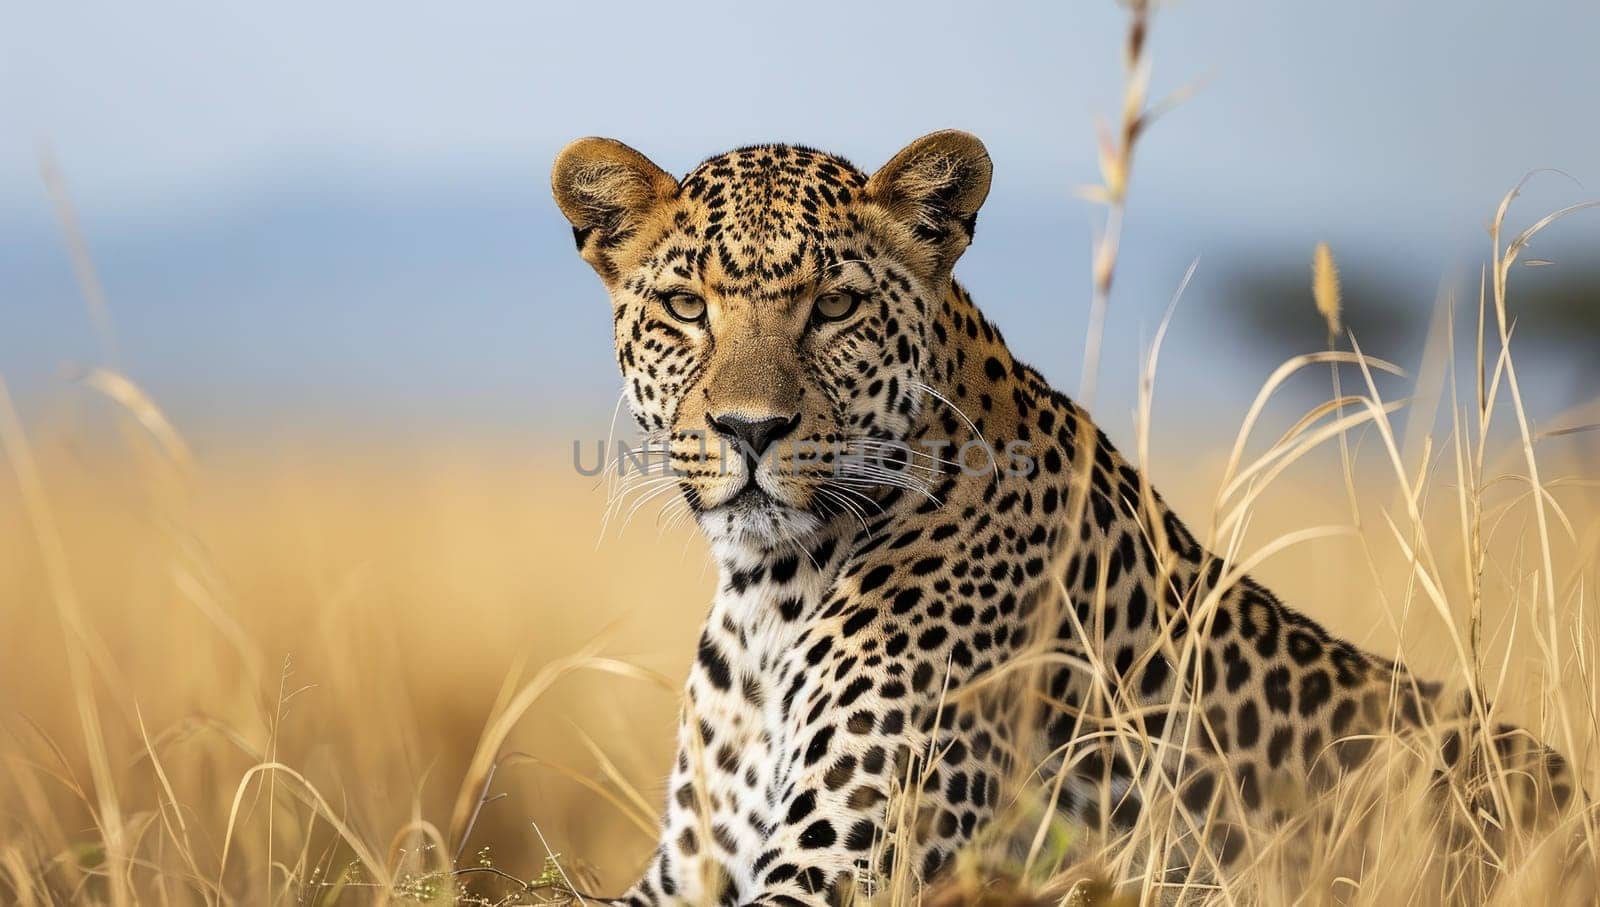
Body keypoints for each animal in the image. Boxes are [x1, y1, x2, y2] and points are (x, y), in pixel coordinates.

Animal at [550, 131, 1574, 902]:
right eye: (686, 305)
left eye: (835, 305)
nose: (750, 428)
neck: (769, 593)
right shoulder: (682, 872)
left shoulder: (836, 868)